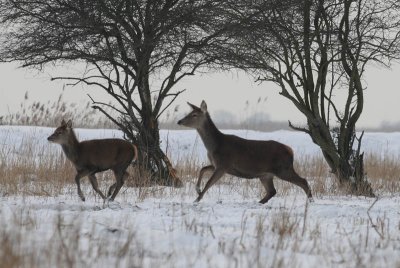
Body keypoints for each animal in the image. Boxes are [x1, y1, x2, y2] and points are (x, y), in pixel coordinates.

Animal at [177, 100, 312, 203]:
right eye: (189, 112)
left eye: (194, 115)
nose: (179, 121)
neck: (214, 146)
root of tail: (291, 151)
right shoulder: (217, 164)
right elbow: (202, 169)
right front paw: (197, 189)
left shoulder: (223, 164)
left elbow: (209, 183)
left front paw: (197, 199)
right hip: (266, 174)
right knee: (272, 191)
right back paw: (259, 202)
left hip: (283, 168)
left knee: (303, 181)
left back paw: (310, 200)